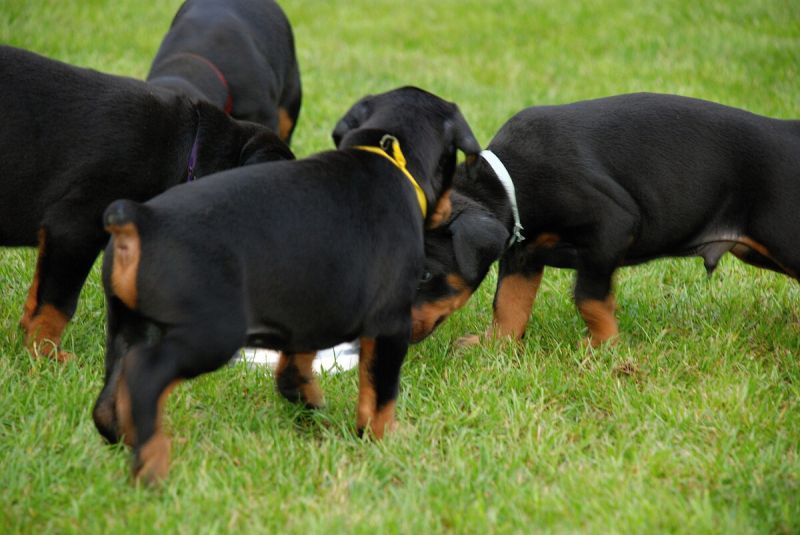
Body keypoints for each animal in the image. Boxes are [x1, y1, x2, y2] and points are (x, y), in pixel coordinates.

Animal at [91, 86, 480, 484]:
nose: (449, 213)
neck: (388, 156)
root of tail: (142, 218)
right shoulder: (390, 324)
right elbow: (379, 392)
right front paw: (382, 439)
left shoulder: (309, 310)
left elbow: (293, 371)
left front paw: (312, 408)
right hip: (211, 333)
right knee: (145, 376)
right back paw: (153, 462)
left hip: (130, 326)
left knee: (111, 397)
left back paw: (130, 441)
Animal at [413, 92, 800, 346]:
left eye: (426, 274)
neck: (511, 182)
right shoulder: (523, 253)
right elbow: (509, 302)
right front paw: (497, 344)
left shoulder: (610, 226)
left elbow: (588, 297)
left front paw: (603, 347)